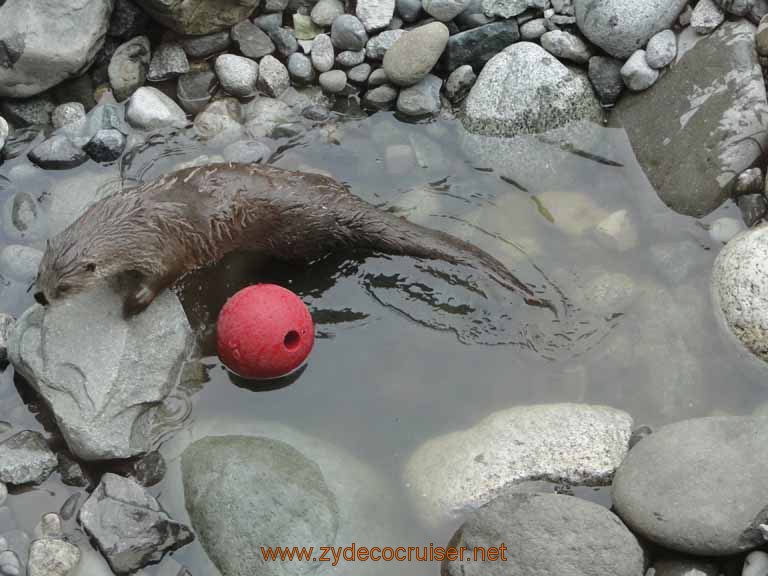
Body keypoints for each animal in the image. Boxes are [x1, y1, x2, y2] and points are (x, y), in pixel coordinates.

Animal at [33, 162, 544, 318]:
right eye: (40, 273)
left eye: (64, 286)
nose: (39, 298)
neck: (136, 221)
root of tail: (340, 204)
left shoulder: (166, 250)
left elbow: (160, 281)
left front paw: (131, 303)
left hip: (299, 238)